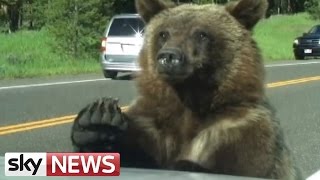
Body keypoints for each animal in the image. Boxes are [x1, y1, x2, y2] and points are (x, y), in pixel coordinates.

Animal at [70, 0, 302, 179]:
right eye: (164, 33)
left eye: (202, 34)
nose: (169, 56)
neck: (188, 99)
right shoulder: (153, 123)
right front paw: (97, 122)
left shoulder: (240, 130)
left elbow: (248, 165)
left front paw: (184, 164)